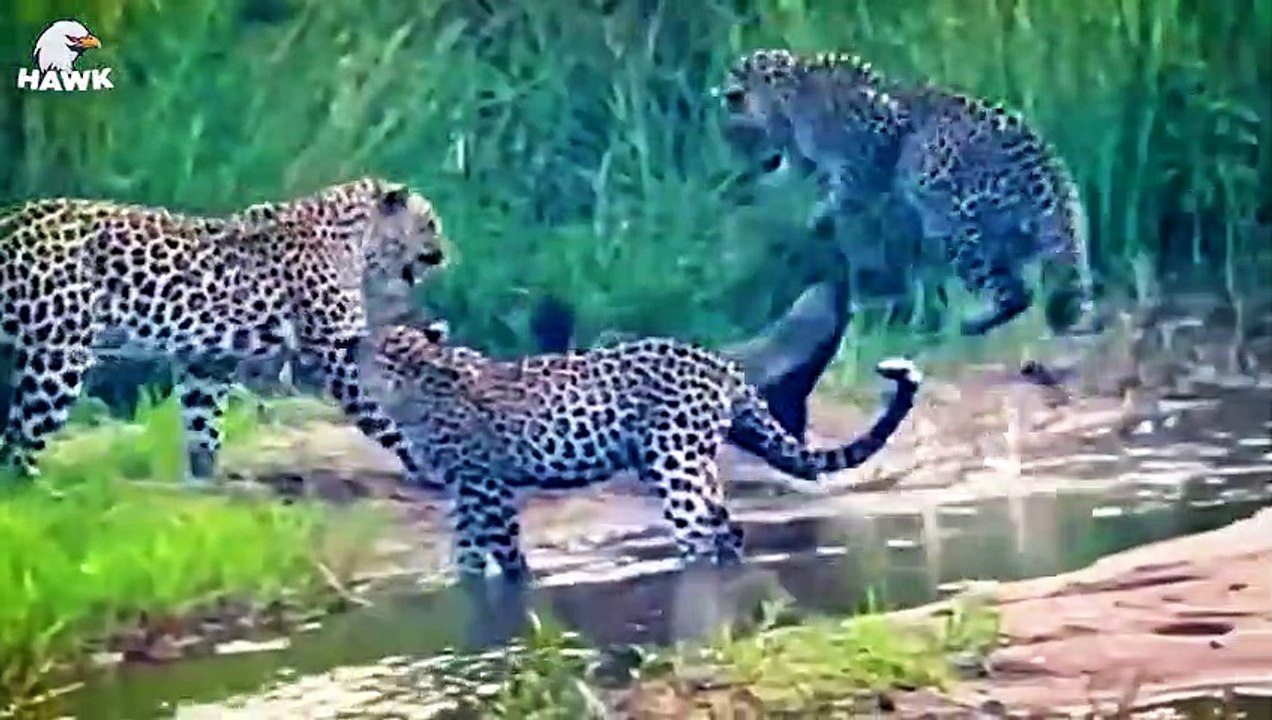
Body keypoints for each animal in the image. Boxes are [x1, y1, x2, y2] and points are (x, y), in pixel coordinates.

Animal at [0, 177, 447, 484]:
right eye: (429, 224)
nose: (443, 256)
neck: (357, 241)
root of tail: (13, 222)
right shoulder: (339, 355)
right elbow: (382, 416)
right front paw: (425, 465)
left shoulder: (208, 360)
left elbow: (203, 421)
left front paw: (207, 476)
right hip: (59, 358)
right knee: (19, 438)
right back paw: (41, 491)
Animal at [362, 324, 923, 582]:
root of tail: (721, 364)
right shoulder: (466, 490)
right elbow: (467, 552)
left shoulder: (485, 486)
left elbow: (503, 550)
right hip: (688, 464)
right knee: (727, 527)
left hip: (674, 463)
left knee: (700, 534)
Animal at [715, 48, 1100, 339]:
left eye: (737, 76)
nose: (721, 95)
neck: (795, 92)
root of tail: (1047, 172)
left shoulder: (878, 139)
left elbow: (854, 186)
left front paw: (825, 214)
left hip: (957, 227)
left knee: (1015, 293)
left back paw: (968, 326)